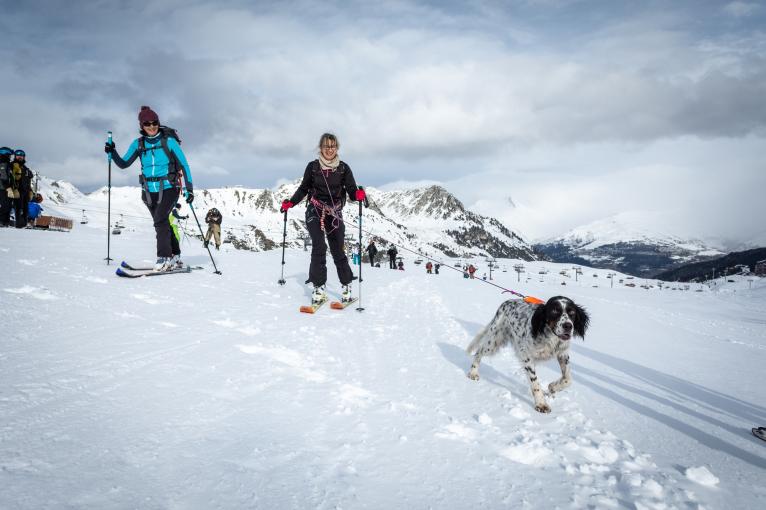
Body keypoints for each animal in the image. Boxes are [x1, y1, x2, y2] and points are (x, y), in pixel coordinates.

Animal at [464, 296, 592, 412]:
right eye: (554, 311)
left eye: (572, 313)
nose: (568, 326)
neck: (551, 338)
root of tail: (505, 303)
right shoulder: (527, 356)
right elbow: (535, 383)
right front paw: (541, 404)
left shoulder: (562, 354)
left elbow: (568, 379)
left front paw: (553, 387)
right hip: (494, 341)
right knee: (479, 351)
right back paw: (473, 372)